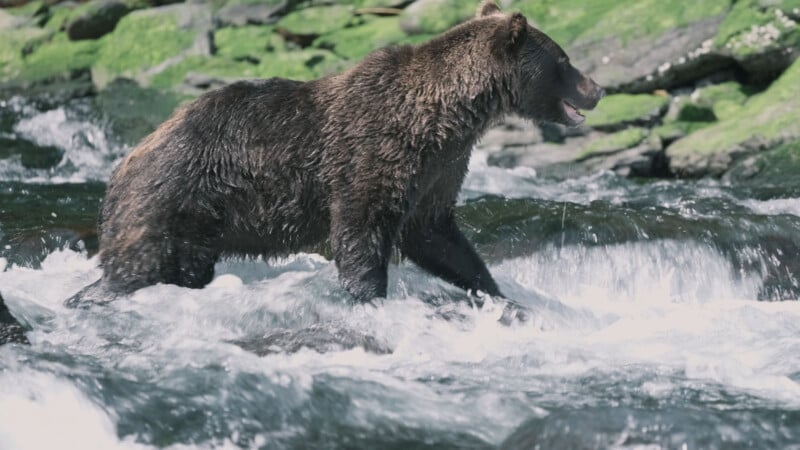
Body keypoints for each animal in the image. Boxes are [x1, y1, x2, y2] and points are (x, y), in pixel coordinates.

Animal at [68, 1, 603, 308]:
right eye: (564, 59)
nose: (596, 88)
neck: (447, 115)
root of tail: (120, 167)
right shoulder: (374, 153)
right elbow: (360, 232)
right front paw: (369, 298)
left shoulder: (440, 168)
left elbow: (435, 234)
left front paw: (494, 290)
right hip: (171, 198)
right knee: (139, 267)